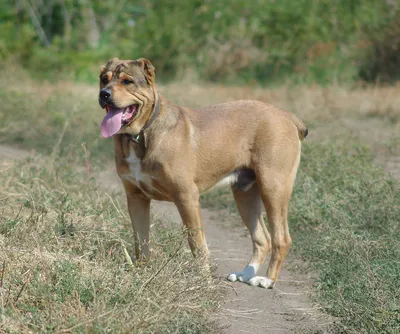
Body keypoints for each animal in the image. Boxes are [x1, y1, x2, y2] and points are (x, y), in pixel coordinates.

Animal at [98, 56, 308, 288]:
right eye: (104, 79)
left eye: (127, 81)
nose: (104, 94)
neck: (139, 135)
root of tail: (287, 115)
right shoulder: (136, 197)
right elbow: (141, 239)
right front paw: (142, 273)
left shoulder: (186, 197)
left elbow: (196, 242)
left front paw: (203, 278)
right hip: (245, 193)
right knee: (262, 238)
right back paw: (245, 274)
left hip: (273, 187)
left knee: (281, 238)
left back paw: (266, 280)